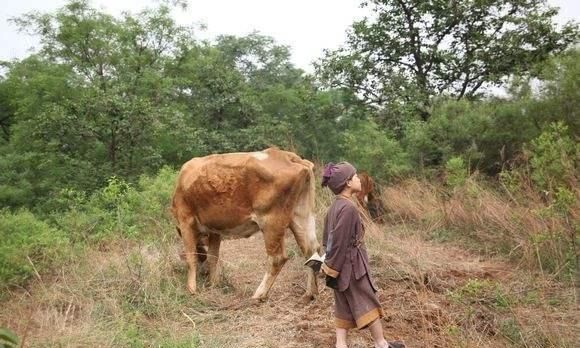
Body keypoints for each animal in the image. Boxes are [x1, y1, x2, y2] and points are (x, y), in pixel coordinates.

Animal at [170, 147, 322, 300]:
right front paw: (214, 284)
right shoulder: (215, 230)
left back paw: (258, 295)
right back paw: (310, 293)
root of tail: (287, 156)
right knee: (311, 250)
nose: (204, 274)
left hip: (271, 221)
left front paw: (191, 290)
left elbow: (191, 258)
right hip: (301, 215)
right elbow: (213, 257)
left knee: (277, 258)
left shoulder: (186, 220)